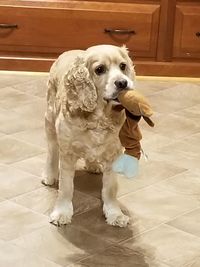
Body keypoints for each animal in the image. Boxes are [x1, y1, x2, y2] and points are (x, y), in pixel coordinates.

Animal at [42, 44, 136, 228]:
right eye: (100, 70)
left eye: (123, 66)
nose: (123, 83)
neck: (98, 117)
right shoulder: (67, 152)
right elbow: (66, 187)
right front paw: (62, 213)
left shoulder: (113, 153)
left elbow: (110, 188)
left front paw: (115, 214)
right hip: (50, 120)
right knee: (51, 151)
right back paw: (49, 175)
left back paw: (93, 165)